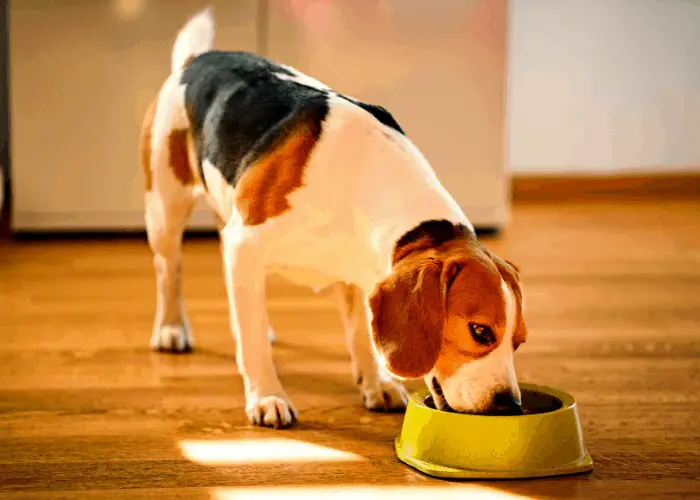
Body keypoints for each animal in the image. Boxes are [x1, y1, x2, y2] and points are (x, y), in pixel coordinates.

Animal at [139, 8, 528, 430]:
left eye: (519, 341)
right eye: (480, 332)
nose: (511, 406)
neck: (365, 179)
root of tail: (196, 61)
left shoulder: (359, 273)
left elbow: (361, 334)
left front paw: (376, 383)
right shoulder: (247, 244)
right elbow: (253, 343)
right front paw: (267, 396)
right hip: (165, 208)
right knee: (168, 271)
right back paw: (171, 329)